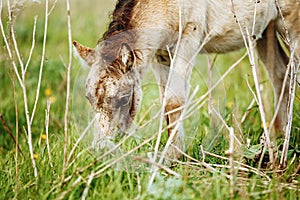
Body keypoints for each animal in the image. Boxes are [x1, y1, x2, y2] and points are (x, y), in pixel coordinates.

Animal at [73, 0, 300, 159]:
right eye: (89, 99)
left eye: (123, 98)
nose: (101, 148)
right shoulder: (160, 53)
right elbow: (167, 101)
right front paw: (174, 155)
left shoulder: (189, 35)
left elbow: (174, 100)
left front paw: (170, 156)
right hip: (264, 29)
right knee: (280, 73)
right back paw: (279, 138)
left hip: (290, 24)